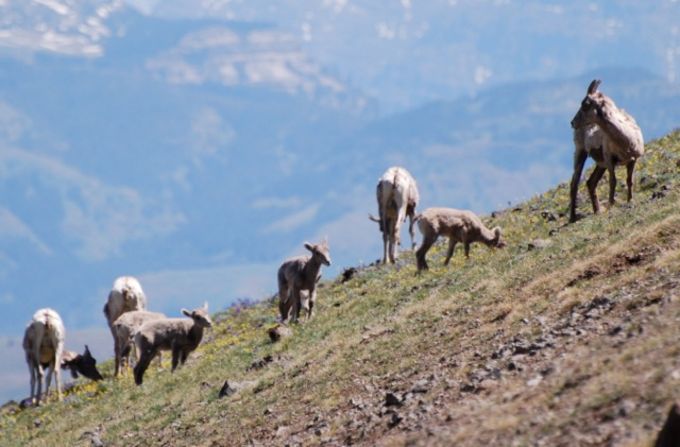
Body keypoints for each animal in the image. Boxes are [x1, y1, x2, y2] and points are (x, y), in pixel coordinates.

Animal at [568, 79, 644, 223]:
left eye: (585, 104)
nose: (573, 122)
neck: (626, 141)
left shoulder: (632, 160)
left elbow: (629, 180)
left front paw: (630, 200)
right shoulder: (610, 160)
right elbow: (613, 181)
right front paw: (611, 204)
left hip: (600, 164)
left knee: (591, 182)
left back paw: (597, 211)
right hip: (581, 153)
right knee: (574, 183)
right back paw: (572, 218)